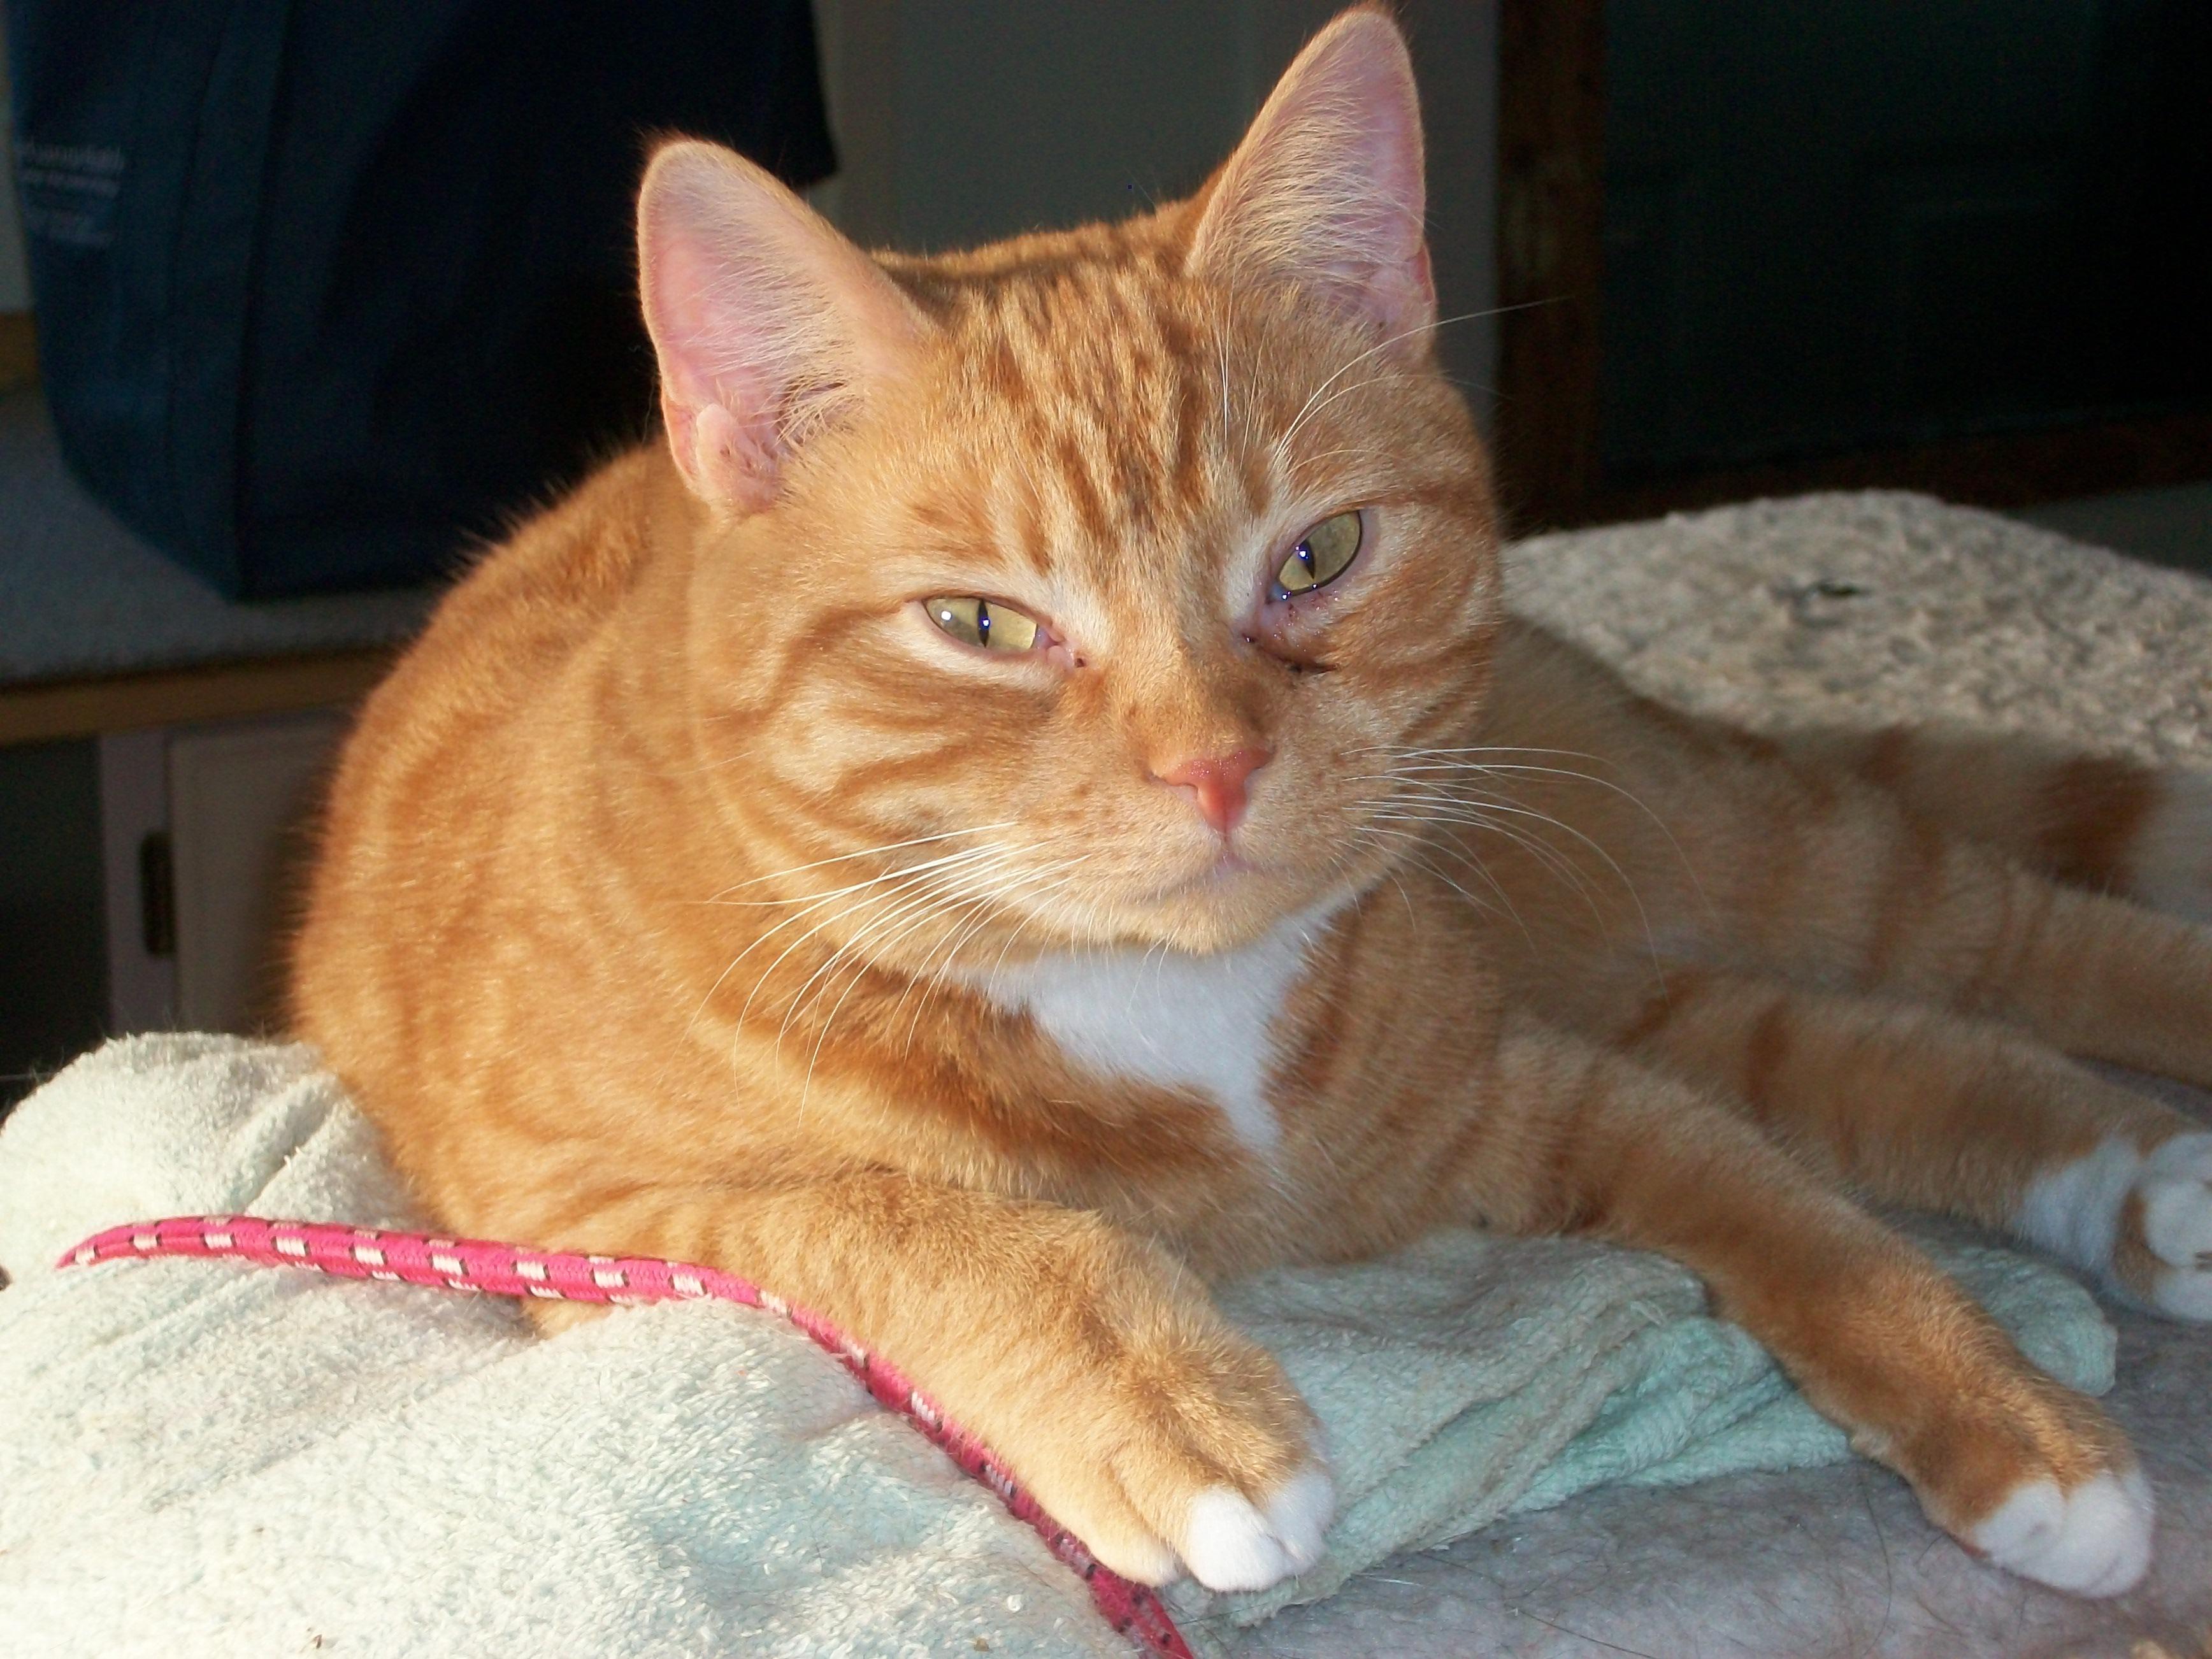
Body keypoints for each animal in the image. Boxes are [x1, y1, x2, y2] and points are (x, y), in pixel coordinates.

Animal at [289, 6, 2212, 1601]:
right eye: (984, 624)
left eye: (1318, 555)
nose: (1212, 761)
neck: (1158, 1002)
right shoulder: (586, 1214)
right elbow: (907, 1219)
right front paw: (1171, 1402)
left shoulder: (1532, 1080)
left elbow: (1803, 1217)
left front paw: (2010, 1413)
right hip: (1627, 955)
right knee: (1853, 1042)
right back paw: (2152, 1189)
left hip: (1710, 856)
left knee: (1991, 950)